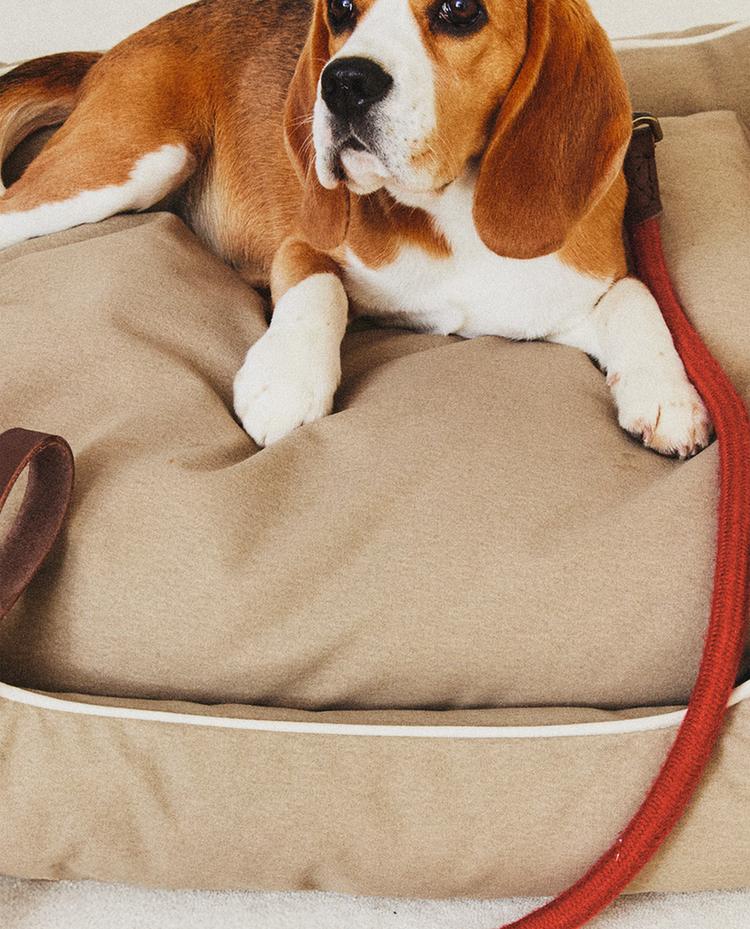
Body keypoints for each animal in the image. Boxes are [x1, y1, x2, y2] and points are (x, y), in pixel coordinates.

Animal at [0, 0, 711, 455]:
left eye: (460, 9)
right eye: (342, 6)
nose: (340, 83)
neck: (453, 207)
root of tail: (114, 47)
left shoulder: (554, 302)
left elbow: (636, 295)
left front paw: (667, 395)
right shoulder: (301, 246)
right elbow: (321, 289)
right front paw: (285, 383)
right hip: (127, 165)